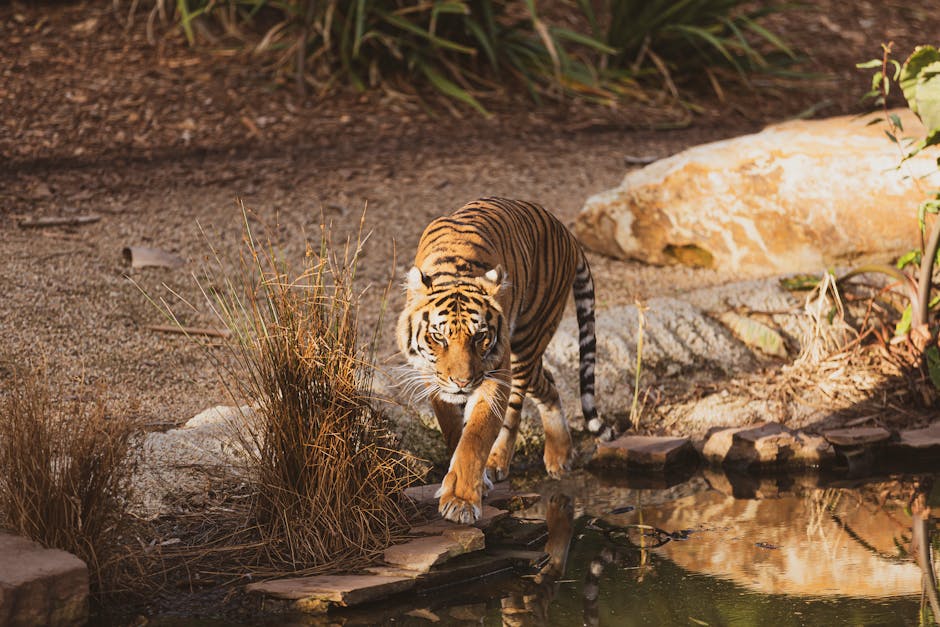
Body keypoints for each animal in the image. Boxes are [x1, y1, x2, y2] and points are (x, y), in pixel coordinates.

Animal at [396, 199, 616, 524]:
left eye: (479, 336)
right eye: (439, 337)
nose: (462, 382)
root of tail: (567, 232)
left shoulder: (494, 374)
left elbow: (475, 437)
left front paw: (460, 501)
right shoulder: (432, 379)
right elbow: (454, 431)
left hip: (525, 341)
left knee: (522, 403)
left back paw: (521, 459)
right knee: (550, 382)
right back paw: (558, 455)